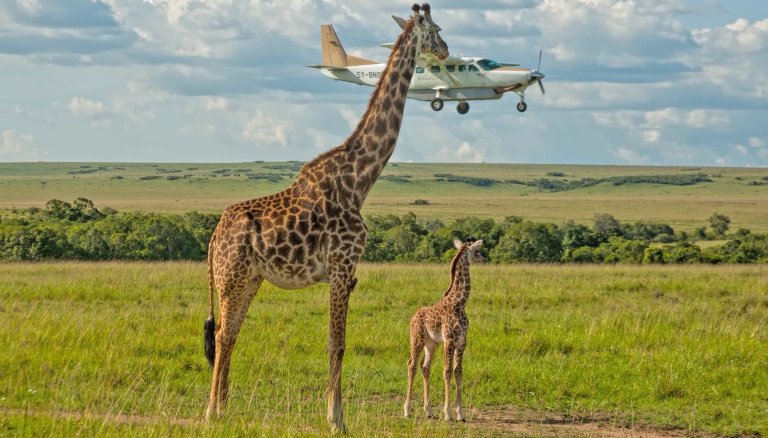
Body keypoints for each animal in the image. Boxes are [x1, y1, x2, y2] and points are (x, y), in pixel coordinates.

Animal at [202, 3, 448, 433]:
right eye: (435, 29)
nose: (447, 51)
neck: (360, 179)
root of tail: (215, 236)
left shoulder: (347, 271)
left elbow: (337, 343)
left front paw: (335, 416)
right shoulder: (341, 265)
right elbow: (338, 343)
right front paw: (337, 420)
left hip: (249, 278)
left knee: (229, 334)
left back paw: (224, 408)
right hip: (230, 277)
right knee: (221, 334)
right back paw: (212, 412)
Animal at [404, 237, 485, 422]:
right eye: (477, 250)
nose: (485, 257)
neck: (459, 303)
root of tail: (412, 317)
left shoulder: (462, 341)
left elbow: (458, 371)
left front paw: (461, 413)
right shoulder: (449, 339)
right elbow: (447, 371)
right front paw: (448, 413)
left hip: (431, 344)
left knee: (425, 367)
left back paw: (428, 411)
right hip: (417, 339)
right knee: (412, 364)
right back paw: (407, 410)